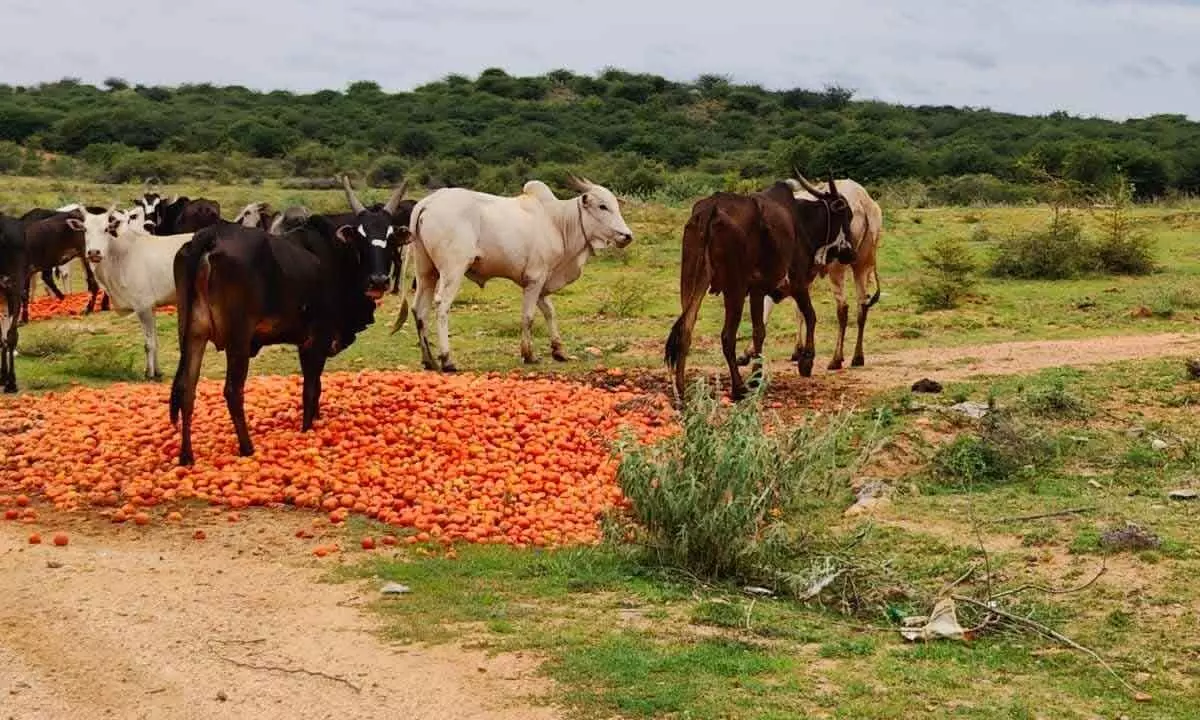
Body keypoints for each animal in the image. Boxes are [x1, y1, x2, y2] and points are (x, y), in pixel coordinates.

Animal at [68, 206, 194, 379]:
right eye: (85, 229)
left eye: (106, 229)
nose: (94, 252)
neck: (120, 257)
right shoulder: (151, 307)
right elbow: (155, 340)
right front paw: (158, 371)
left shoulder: (142, 306)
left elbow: (149, 344)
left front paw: (149, 374)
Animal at [168, 210, 393, 468]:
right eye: (361, 238)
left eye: (391, 237)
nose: (379, 280)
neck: (334, 253)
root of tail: (211, 234)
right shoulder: (317, 339)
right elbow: (311, 388)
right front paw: (307, 428)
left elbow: (316, 386)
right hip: (238, 339)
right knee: (233, 391)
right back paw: (247, 447)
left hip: (192, 333)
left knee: (186, 388)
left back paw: (186, 456)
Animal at [396, 175, 638, 372]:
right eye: (602, 206)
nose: (627, 236)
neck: (557, 222)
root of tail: (427, 203)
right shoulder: (535, 278)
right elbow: (529, 317)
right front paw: (528, 354)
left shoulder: (542, 281)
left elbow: (550, 312)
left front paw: (558, 350)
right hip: (452, 270)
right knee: (441, 306)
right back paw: (447, 360)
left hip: (426, 272)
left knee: (419, 309)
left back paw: (429, 360)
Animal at [662, 174, 859, 398]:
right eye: (847, 215)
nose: (851, 254)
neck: (802, 221)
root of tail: (711, 208)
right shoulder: (798, 283)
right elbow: (810, 316)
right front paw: (806, 361)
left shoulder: (757, 291)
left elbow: (759, 331)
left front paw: (757, 375)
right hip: (734, 288)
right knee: (727, 336)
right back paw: (738, 388)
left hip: (691, 282)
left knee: (685, 330)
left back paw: (681, 389)